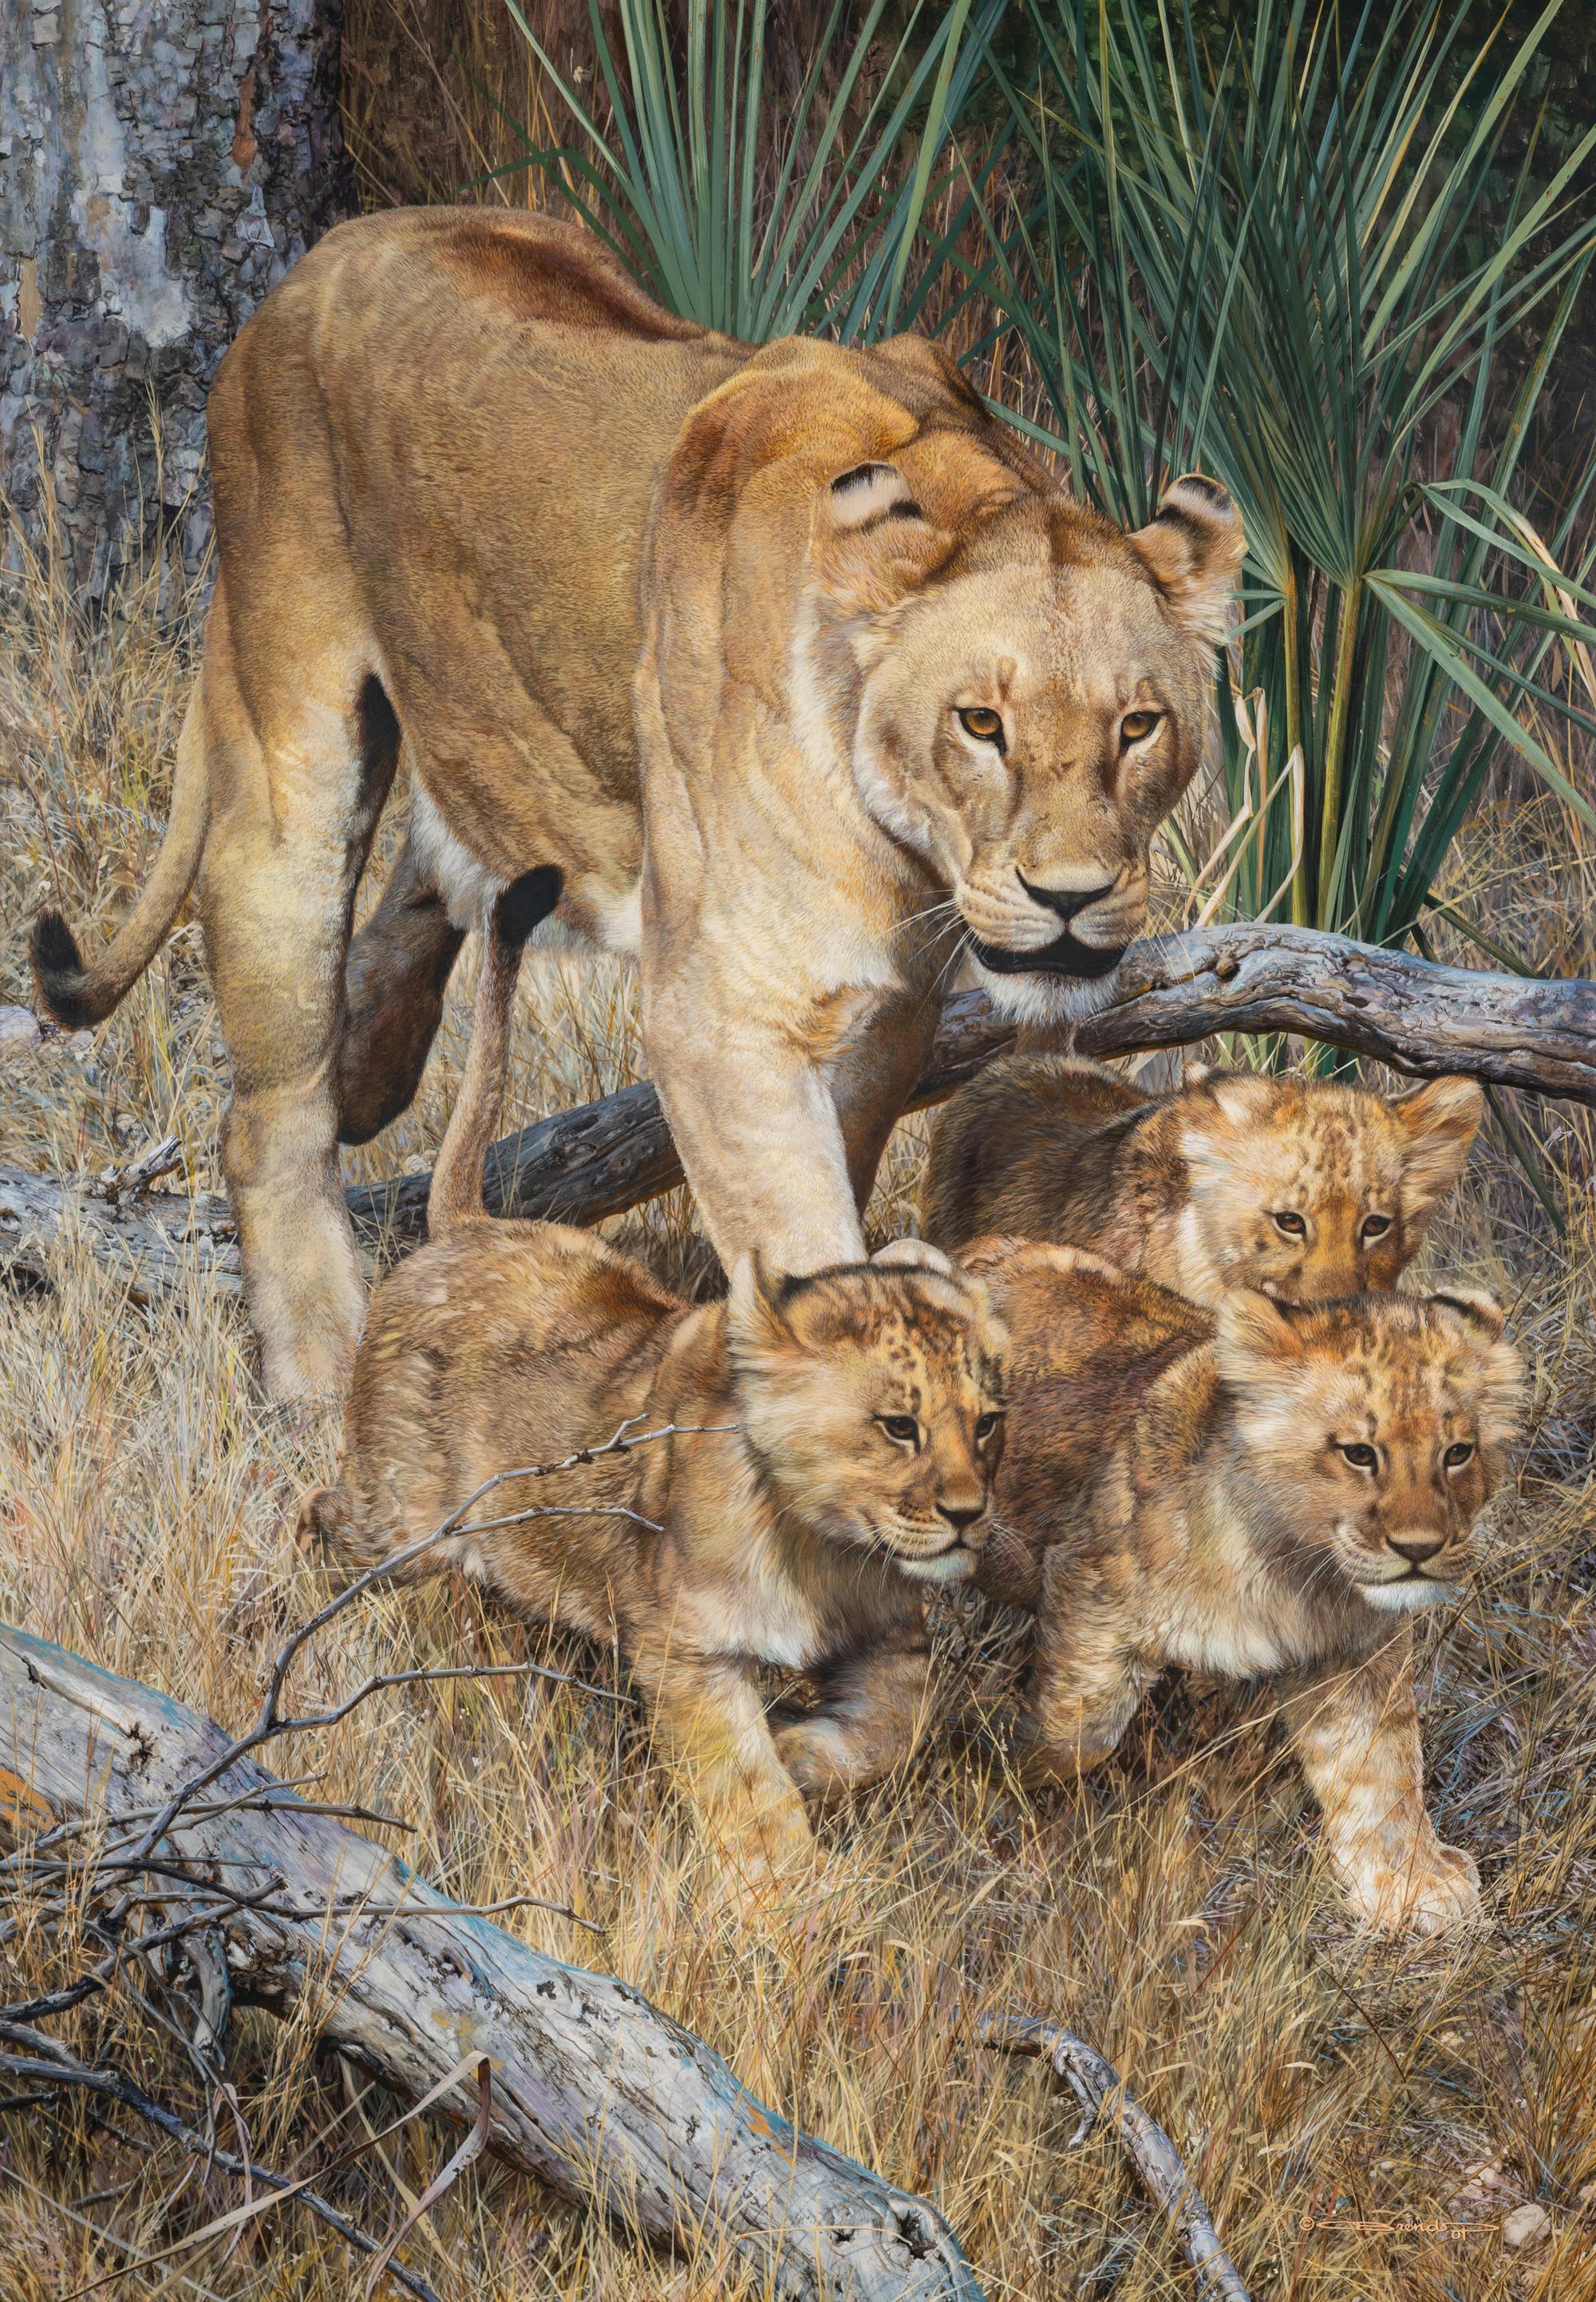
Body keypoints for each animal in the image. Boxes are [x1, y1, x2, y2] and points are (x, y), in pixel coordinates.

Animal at [29, 209, 1243, 1398]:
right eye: (979, 724)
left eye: (1139, 727)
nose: (1070, 898)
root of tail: (320, 255)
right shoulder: (722, 1011)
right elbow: (800, 1234)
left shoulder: (889, 1009)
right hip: (288, 748)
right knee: (271, 1112)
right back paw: (322, 1376)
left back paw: (371, 1051)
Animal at [300, 893, 1007, 1896]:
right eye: (896, 1426)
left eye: (986, 1425)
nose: (967, 1515)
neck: (822, 1546)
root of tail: (469, 1226)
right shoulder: (686, 1652)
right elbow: (748, 1799)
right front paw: (791, 1905)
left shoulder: (890, 1637)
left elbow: (898, 1720)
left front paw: (804, 1749)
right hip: (400, 1525)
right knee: (325, 1513)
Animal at [962, 1238, 1525, 1934]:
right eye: (1359, 1453)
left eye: (1457, 1452)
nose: (1419, 1549)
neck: (1294, 1572)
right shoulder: (1087, 1588)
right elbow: (1075, 1734)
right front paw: (999, 1778)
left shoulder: (1351, 1653)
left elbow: (1381, 1765)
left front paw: (1413, 1886)